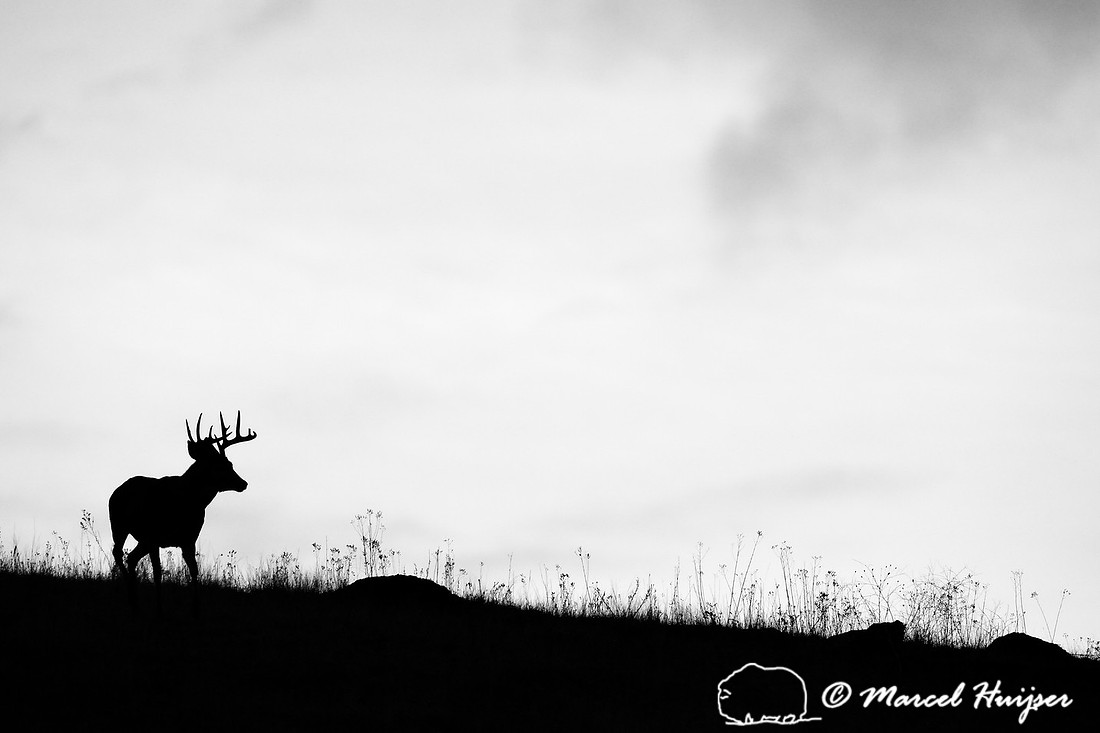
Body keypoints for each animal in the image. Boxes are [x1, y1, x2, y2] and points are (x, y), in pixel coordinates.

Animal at [109, 411, 257, 616]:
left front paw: (196, 608)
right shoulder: (154, 534)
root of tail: (116, 491)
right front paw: (159, 609)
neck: (186, 500)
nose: (243, 483)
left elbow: (194, 571)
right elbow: (157, 572)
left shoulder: (189, 538)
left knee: (130, 557)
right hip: (119, 525)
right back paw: (131, 595)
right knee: (118, 552)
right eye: (221, 465)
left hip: (141, 538)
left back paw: (135, 601)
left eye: (230, 463)